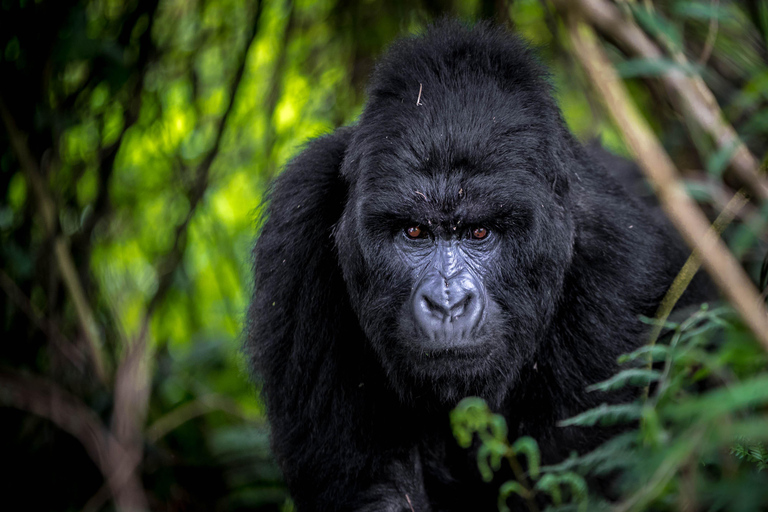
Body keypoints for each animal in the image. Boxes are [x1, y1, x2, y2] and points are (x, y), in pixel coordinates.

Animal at [248, 21, 708, 512]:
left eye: (480, 233)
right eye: (415, 232)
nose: (447, 303)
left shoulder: (619, 263)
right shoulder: (298, 229)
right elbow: (372, 486)